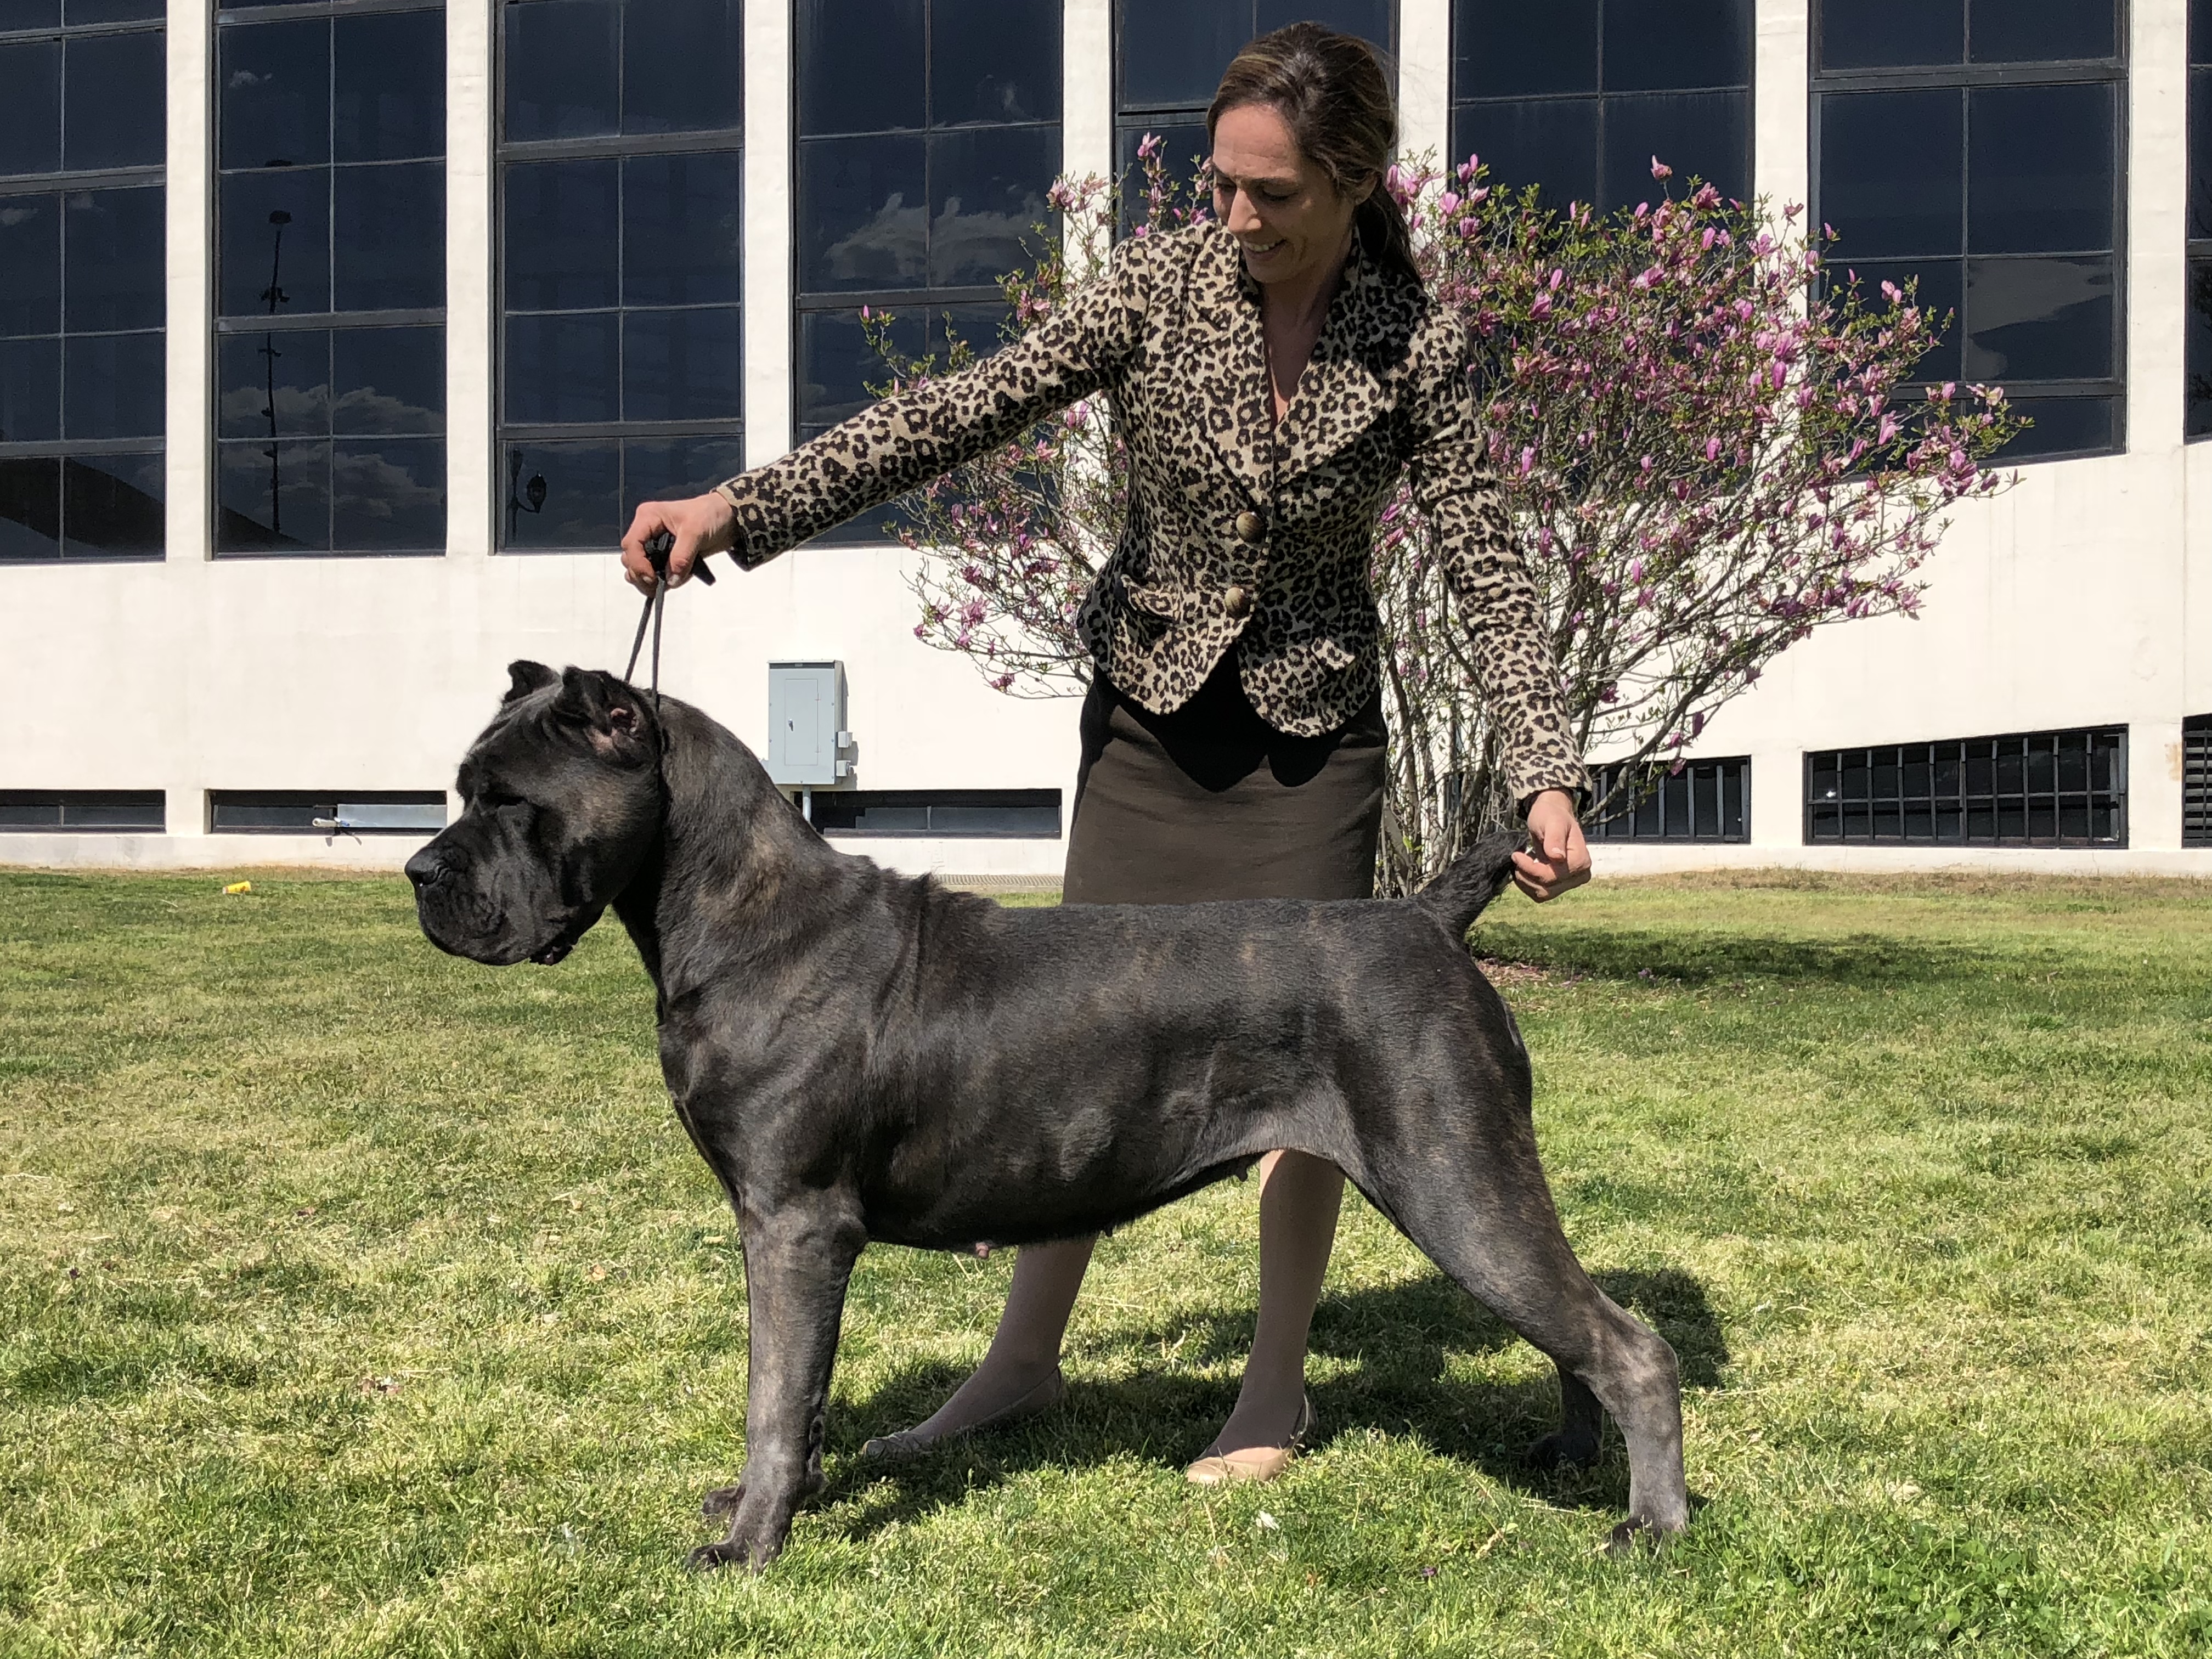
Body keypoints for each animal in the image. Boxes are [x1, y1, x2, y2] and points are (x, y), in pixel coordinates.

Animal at [405, 662, 1690, 1570]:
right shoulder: (788, 1234)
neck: (737, 912)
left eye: (510, 800)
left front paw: (749, 1543)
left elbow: (775, 1394)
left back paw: (1652, 1526)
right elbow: (799, 1393)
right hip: (1474, 1180)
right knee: (1576, 1329)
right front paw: (780, 1502)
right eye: (462, 789)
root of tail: (1426, 914)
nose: (420, 872)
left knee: (1629, 1343)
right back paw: (1571, 1462)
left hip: (1453, 1175)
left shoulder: (794, 1223)